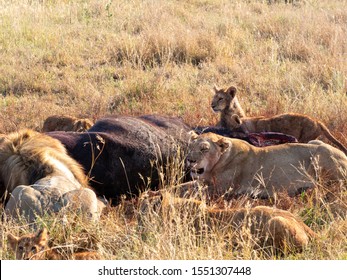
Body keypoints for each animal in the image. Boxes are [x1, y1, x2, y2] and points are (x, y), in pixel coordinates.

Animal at [188, 132, 347, 198]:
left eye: (204, 149)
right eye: (191, 146)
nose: (190, 160)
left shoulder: (222, 189)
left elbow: (190, 188)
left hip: (321, 153)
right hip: (315, 142)